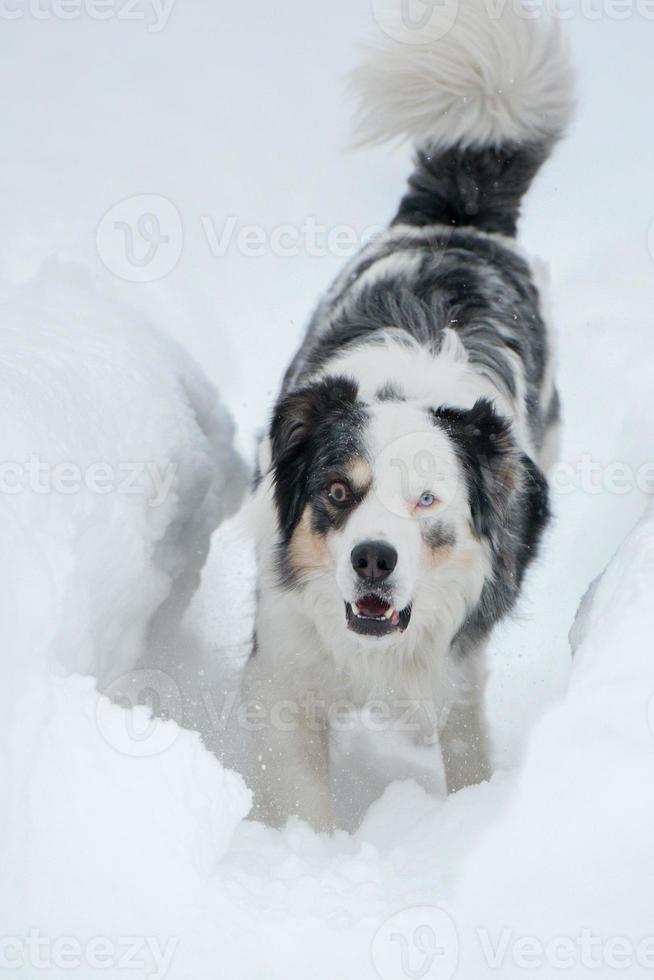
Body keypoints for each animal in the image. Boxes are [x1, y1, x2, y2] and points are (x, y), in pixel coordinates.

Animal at [242, 0, 576, 832]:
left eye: (427, 501)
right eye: (337, 492)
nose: (373, 560)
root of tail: (461, 220)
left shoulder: (456, 666)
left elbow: (462, 744)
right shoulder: (283, 667)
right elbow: (300, 794)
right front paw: (310, 852)